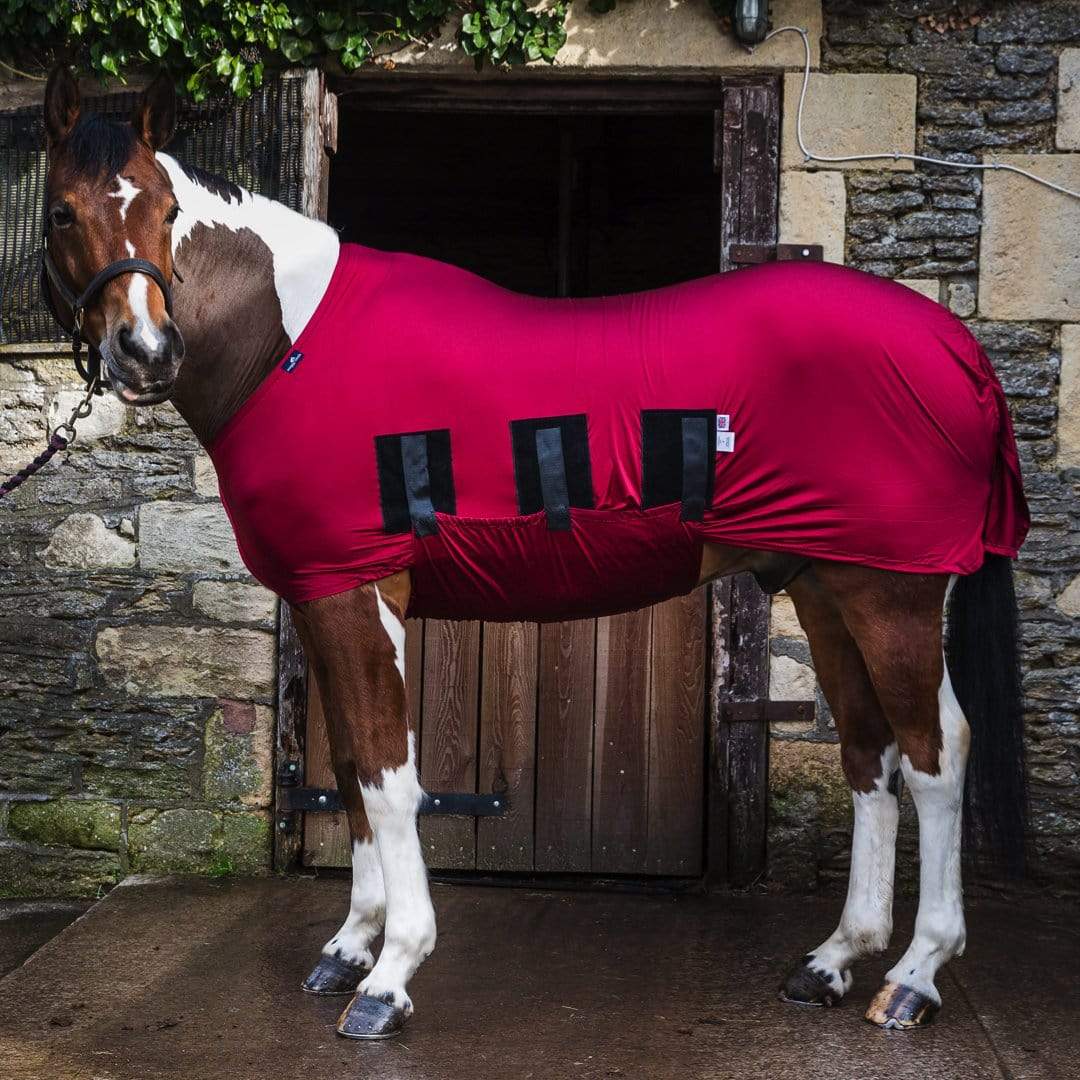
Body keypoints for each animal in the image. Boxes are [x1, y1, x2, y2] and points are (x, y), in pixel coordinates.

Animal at [37, 67, 1029, 1040]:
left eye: (168, 209)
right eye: (60, 212)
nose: (146, 351)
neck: (290, 344)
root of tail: (954, 344)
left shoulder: (360, 593)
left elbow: (390, 781)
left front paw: (390, 976)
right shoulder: (321, 594)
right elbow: (351, 771)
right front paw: (350, 947)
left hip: (892, 595)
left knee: (936, 754)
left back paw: (914, 976)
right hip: (827, 587)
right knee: (869, 752)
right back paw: (833, 960)